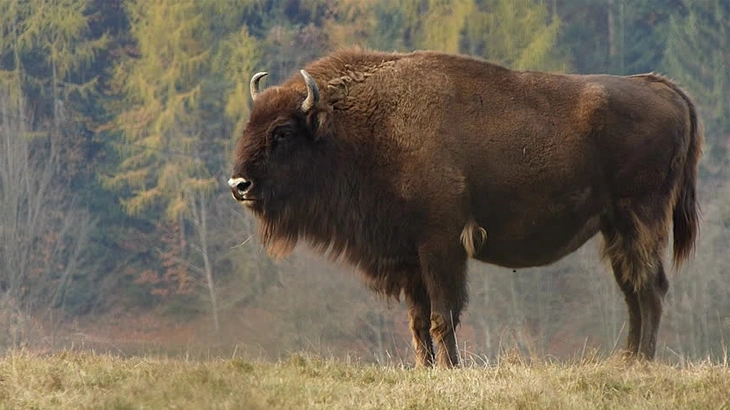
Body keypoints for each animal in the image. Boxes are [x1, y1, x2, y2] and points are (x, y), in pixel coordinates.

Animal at [229, 47, 702, 368]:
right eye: (251, 124)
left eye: (283, 132)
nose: (239, 185)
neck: (363, 128)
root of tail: (660, 87)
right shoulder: (410, 256)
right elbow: (419, 321)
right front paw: (425, 369)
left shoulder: (442, 246)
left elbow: (443, 316)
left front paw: (452, 369)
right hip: (615, 228)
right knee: (632, 290)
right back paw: (626, 359)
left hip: (641, 218)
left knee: (650, 287)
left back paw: (641, 362)